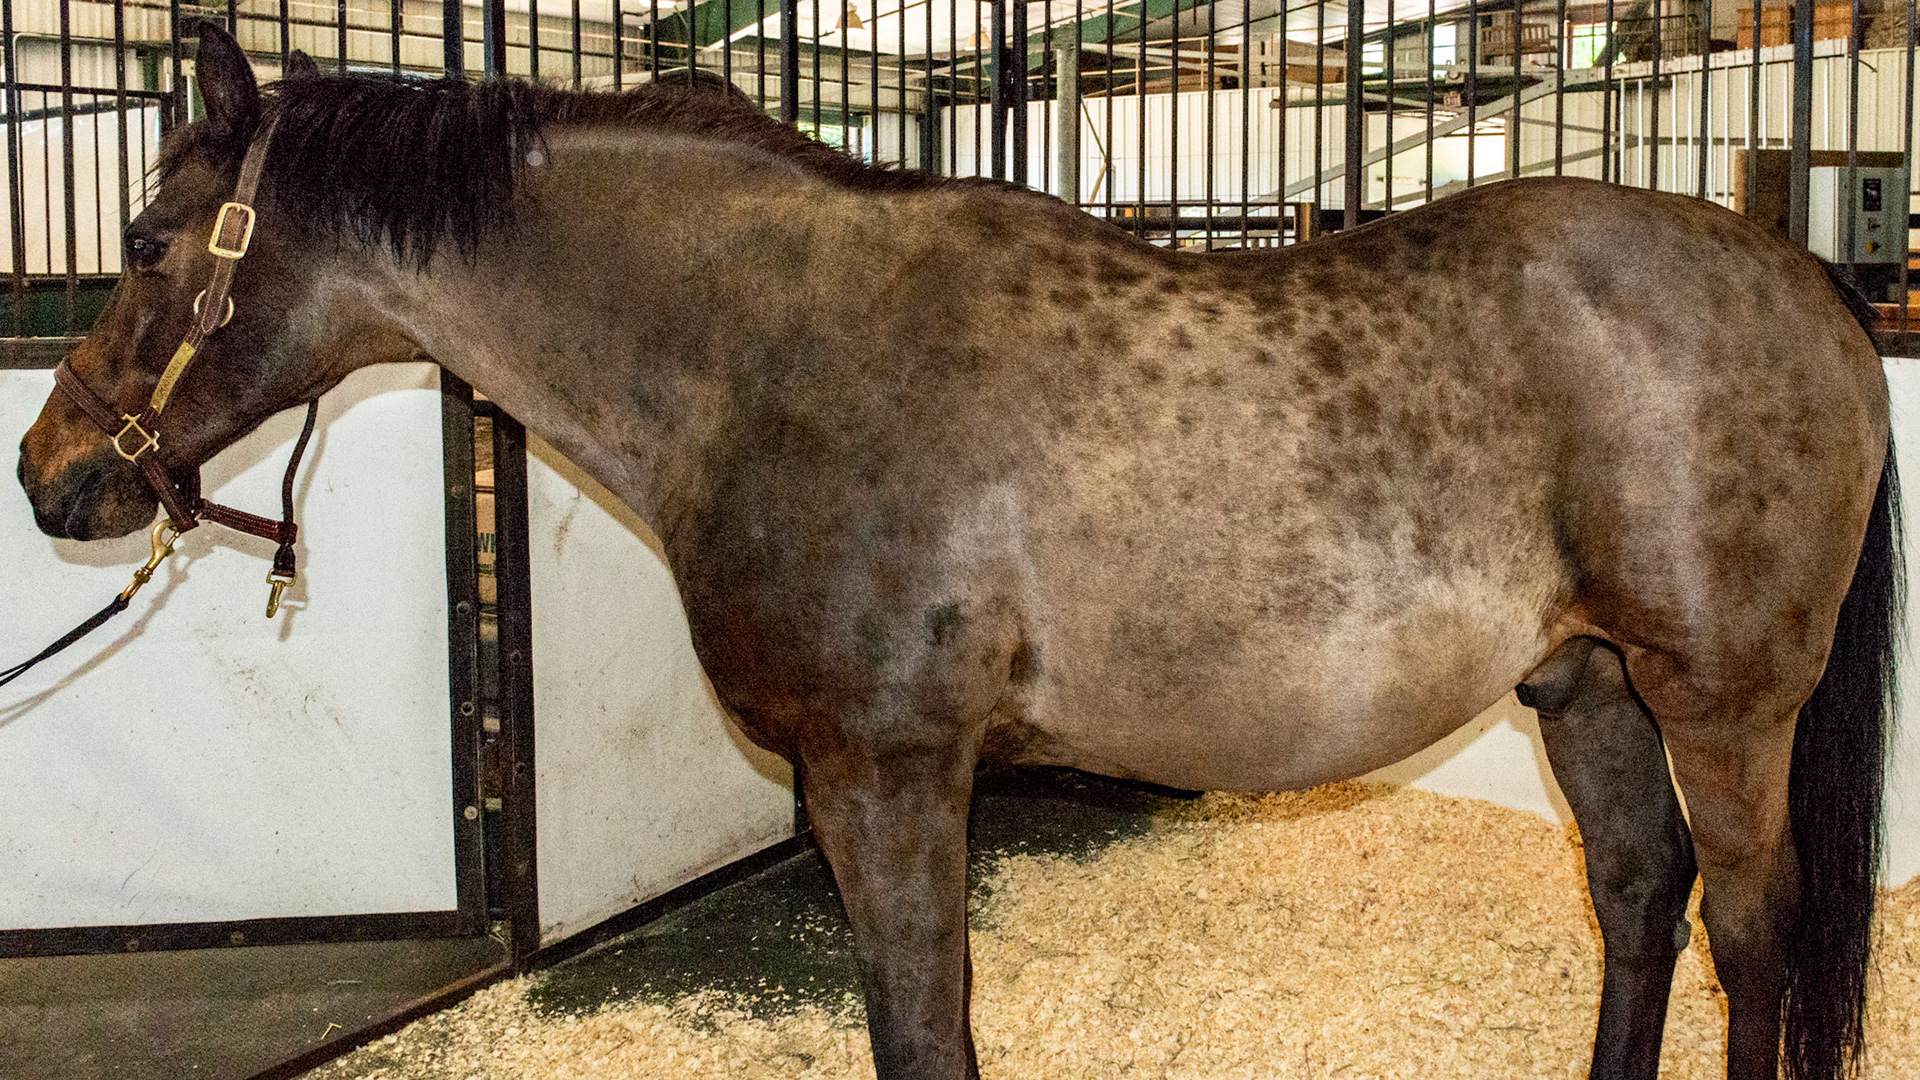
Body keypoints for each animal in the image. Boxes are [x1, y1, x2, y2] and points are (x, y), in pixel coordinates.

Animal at [14, 23, 1899, 1080]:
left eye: (146, 237)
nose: (49, 475)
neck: (762, 348)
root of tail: (1807, 284)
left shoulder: (892, 769)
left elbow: (925, 1030)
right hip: (1587, 686)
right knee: (1641, 901)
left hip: (1723, 704)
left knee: (1752, 934)